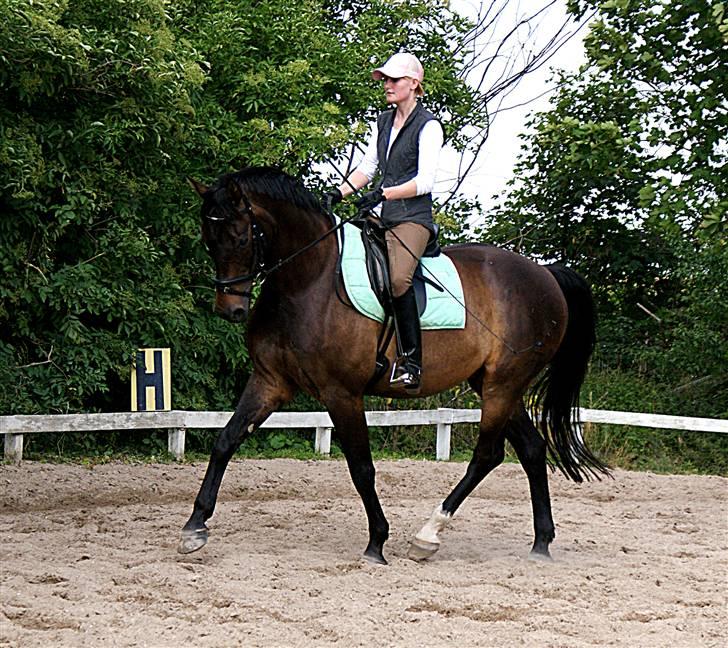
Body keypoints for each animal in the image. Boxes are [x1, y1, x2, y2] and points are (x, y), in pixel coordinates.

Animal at [181, 167, 608, 560]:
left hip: (502, 385)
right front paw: (195, 526)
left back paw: (428, 535)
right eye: (208, 241)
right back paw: (541, 543)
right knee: (532, 450)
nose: (230, 310)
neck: (307, 281)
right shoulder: (270, 381)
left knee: (488, 455)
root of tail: (545, 273)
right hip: (492, 384)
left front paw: (377, 541)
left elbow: (361, 467)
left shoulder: (342, 394)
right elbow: (225, 440)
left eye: (241, 238)